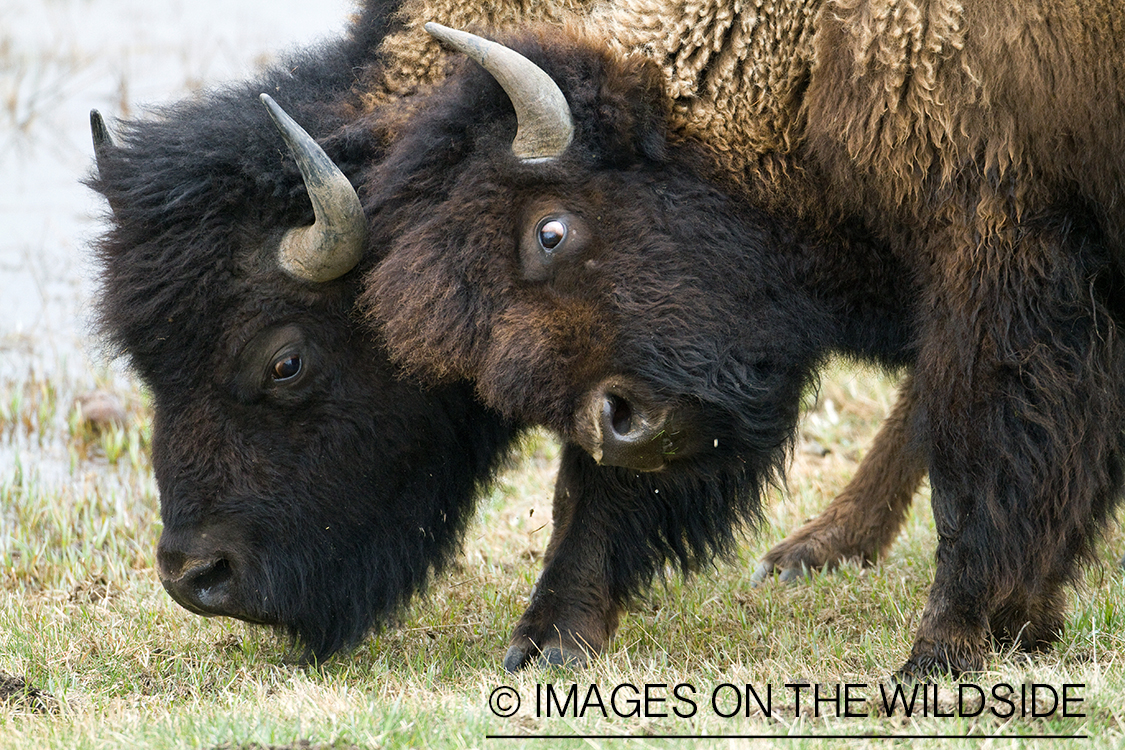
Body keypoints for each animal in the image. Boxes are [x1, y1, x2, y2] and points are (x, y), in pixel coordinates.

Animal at [361, 11, 1125, 678]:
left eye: (550, 230)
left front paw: (943, 650)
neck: (801, 58)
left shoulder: (996, 260)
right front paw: (547, 640)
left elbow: (982, 461)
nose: (617, 425)